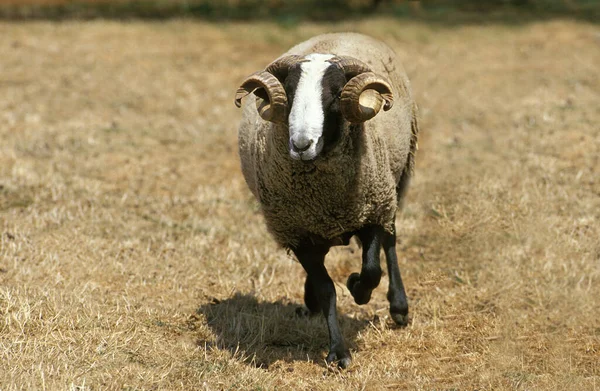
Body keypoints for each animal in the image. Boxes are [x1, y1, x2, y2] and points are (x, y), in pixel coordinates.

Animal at [232, 32, 420, 370]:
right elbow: (326, 290)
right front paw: (338, 352)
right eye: (289, 93)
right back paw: (310, 303)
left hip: (393, 185)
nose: (301, 144)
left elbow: (372, 270)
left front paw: (357, 288)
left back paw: (399, 308)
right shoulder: (297, 232)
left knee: (391, 242)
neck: (323, 197)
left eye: (335, 97)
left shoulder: (372, 210)